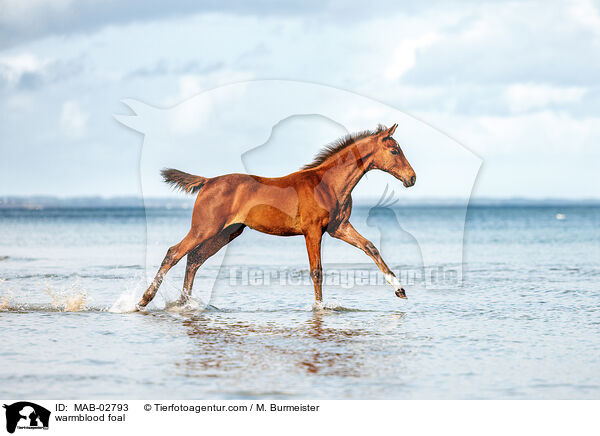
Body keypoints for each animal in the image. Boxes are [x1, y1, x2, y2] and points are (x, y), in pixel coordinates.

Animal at [137, 123, 418, 310]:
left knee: (194, 259)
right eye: (395, 151)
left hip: (227, 232)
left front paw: (400, 289)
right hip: (204, 228)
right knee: (174, 253)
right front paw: (320, 307)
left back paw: (184, 303)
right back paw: (143, 300)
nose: (412, 178)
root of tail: (207, 182)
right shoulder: (312, 231)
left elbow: (370, 247)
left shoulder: (338, 227)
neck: (327, 184)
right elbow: (317, 271)